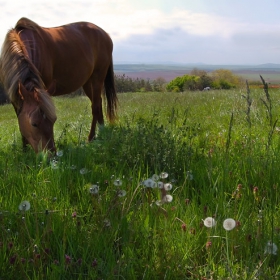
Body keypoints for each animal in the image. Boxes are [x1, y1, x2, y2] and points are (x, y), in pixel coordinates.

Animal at [0, 17, 117, 153]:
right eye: (34, 123)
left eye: (53, 120)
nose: (51, 153)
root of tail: (106, 35)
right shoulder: (15, 96)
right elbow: (20, 120)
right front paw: (25, 150)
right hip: (88, 83)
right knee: (97, 102)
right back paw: (102, 131)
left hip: (98, 78)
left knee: (96, 106)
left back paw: (91, 137)